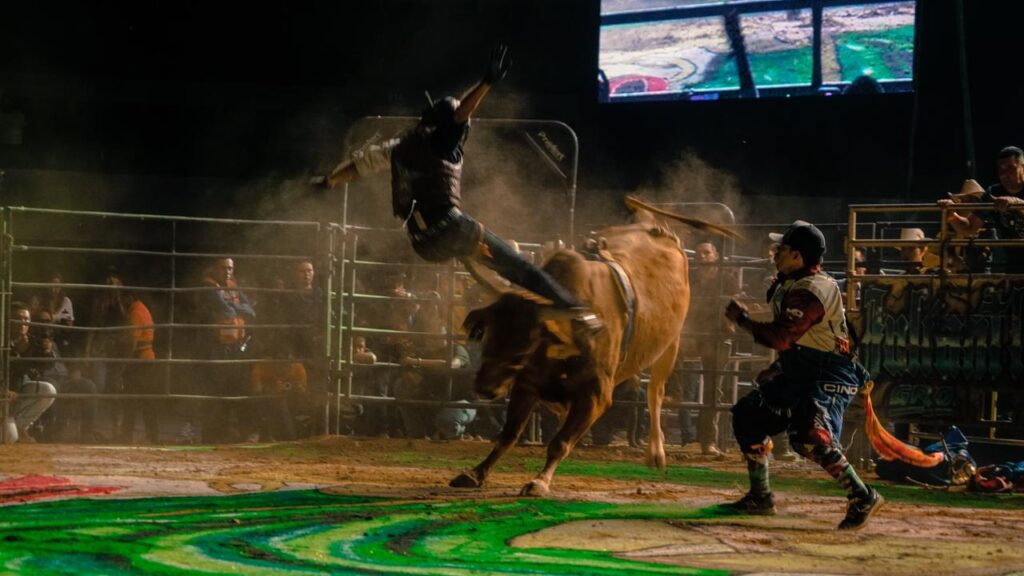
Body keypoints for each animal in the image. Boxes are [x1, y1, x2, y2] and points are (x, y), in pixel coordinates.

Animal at [450, 196, 737, 494]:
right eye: (491, 333)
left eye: (525, 344)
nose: (484, 386)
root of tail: (660, 232)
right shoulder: (526, 384)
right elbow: (508, 435)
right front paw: (476, 473)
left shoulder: (596, 393)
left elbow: (560, 442)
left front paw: (540, 481)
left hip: (670, 346)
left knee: (655, 394)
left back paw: (656, 453)